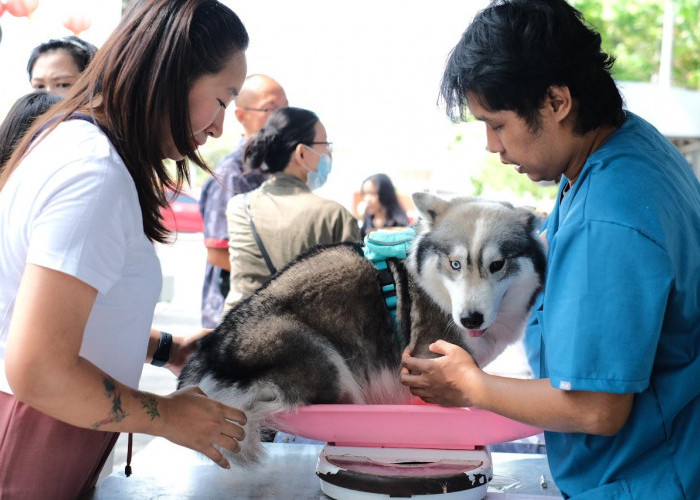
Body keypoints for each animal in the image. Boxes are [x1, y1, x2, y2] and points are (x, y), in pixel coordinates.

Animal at [178, 193, 544, 466]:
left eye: (497, 265)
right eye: (455, 264)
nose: (470, 319)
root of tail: (211, 352)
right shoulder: (426, 361)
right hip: (325, 360)